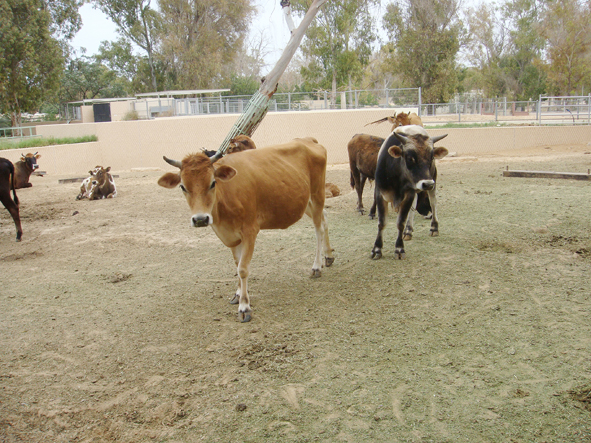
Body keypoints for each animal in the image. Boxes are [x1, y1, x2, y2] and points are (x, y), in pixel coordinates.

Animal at [157, 137, 336, 320]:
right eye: (182, 187)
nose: (200, 219)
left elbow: (243, 269)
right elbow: (237, 265)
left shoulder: (250, 230)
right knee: (324, 219)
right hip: (304, 201)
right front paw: (237, 294)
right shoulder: (231, 236)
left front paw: (244, 306)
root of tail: (306, 139)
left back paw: (316, 266)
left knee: (319, 229)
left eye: (213, 183)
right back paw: (328, 256)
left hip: (317, 193)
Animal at [370, 125, 448, 260]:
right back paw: (408, 230)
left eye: (431, 157)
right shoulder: (380, 194)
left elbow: (400, 222)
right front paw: (377, 249)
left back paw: (434, 228)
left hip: (432, 179)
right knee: (414, 207)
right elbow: (382, 223)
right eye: (410, 158)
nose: (427, 184)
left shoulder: (409, 194)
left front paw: (399, 248)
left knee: (433, 203)